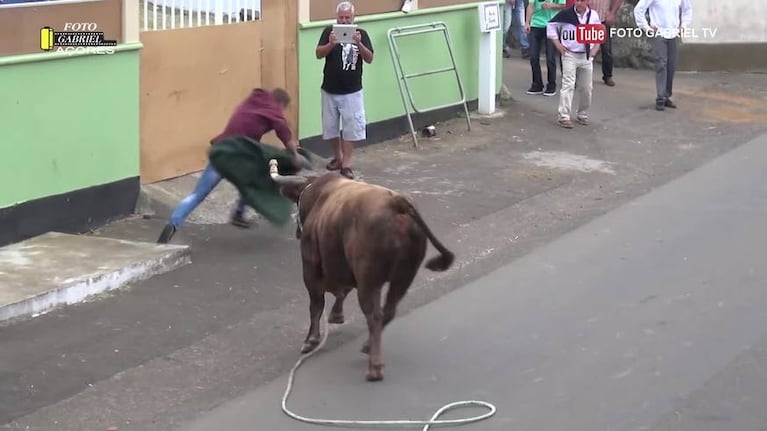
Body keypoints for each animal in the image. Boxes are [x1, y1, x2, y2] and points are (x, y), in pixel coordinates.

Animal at [270, 160, 452, 384]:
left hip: (368, 279)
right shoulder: (348, 270)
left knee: (374, 315)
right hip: (403, 276)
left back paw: (375, 367)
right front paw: (336, 315)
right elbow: (341, 292)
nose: (297, 232)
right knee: (388, 310)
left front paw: (311, 340)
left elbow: (316, 305)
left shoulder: (310, 266)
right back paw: (368, 346)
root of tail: (396, 202)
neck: (319, 196)